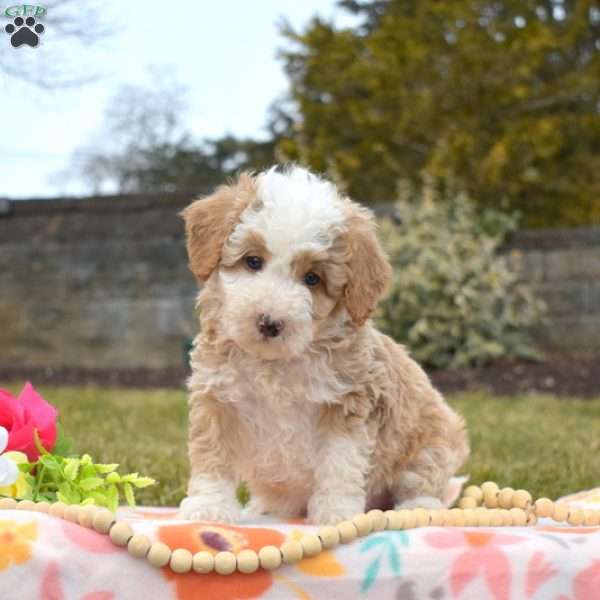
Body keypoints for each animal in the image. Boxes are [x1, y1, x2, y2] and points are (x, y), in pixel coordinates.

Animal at [178, 166, 468, 524]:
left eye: (312, 279)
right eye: (253, 261)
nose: (269, 323)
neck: (274, 364)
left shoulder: (347, 403)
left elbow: (338, 462)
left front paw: (336, 513)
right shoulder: (217, 399)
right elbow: (212, 457)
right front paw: (210, 507)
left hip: (431, 442)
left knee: (422, 482)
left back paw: (418, 507)